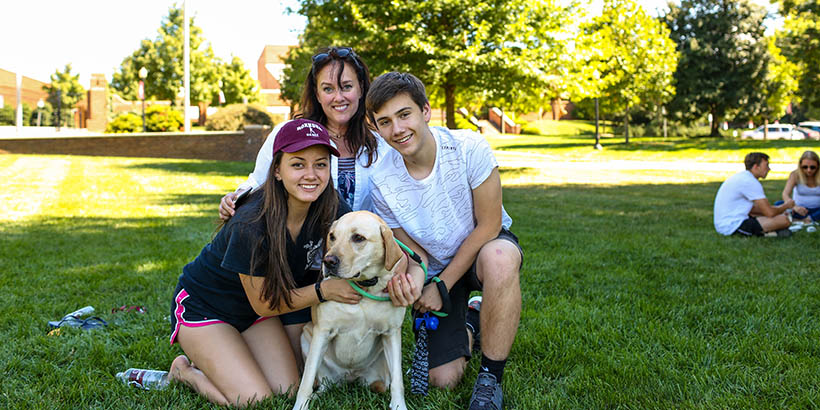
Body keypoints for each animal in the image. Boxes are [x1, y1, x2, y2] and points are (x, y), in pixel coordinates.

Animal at [294, 211, 410, 410]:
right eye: (332, 236)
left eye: (358, 238)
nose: (328, 261)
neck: (364, 289)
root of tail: (350, 376)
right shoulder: (322, 332)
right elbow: (306, 382)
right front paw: (300, 406)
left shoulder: (392, 333)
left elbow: (398, 381)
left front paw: (398, 405)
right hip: (306, 338)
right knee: (322, 384)